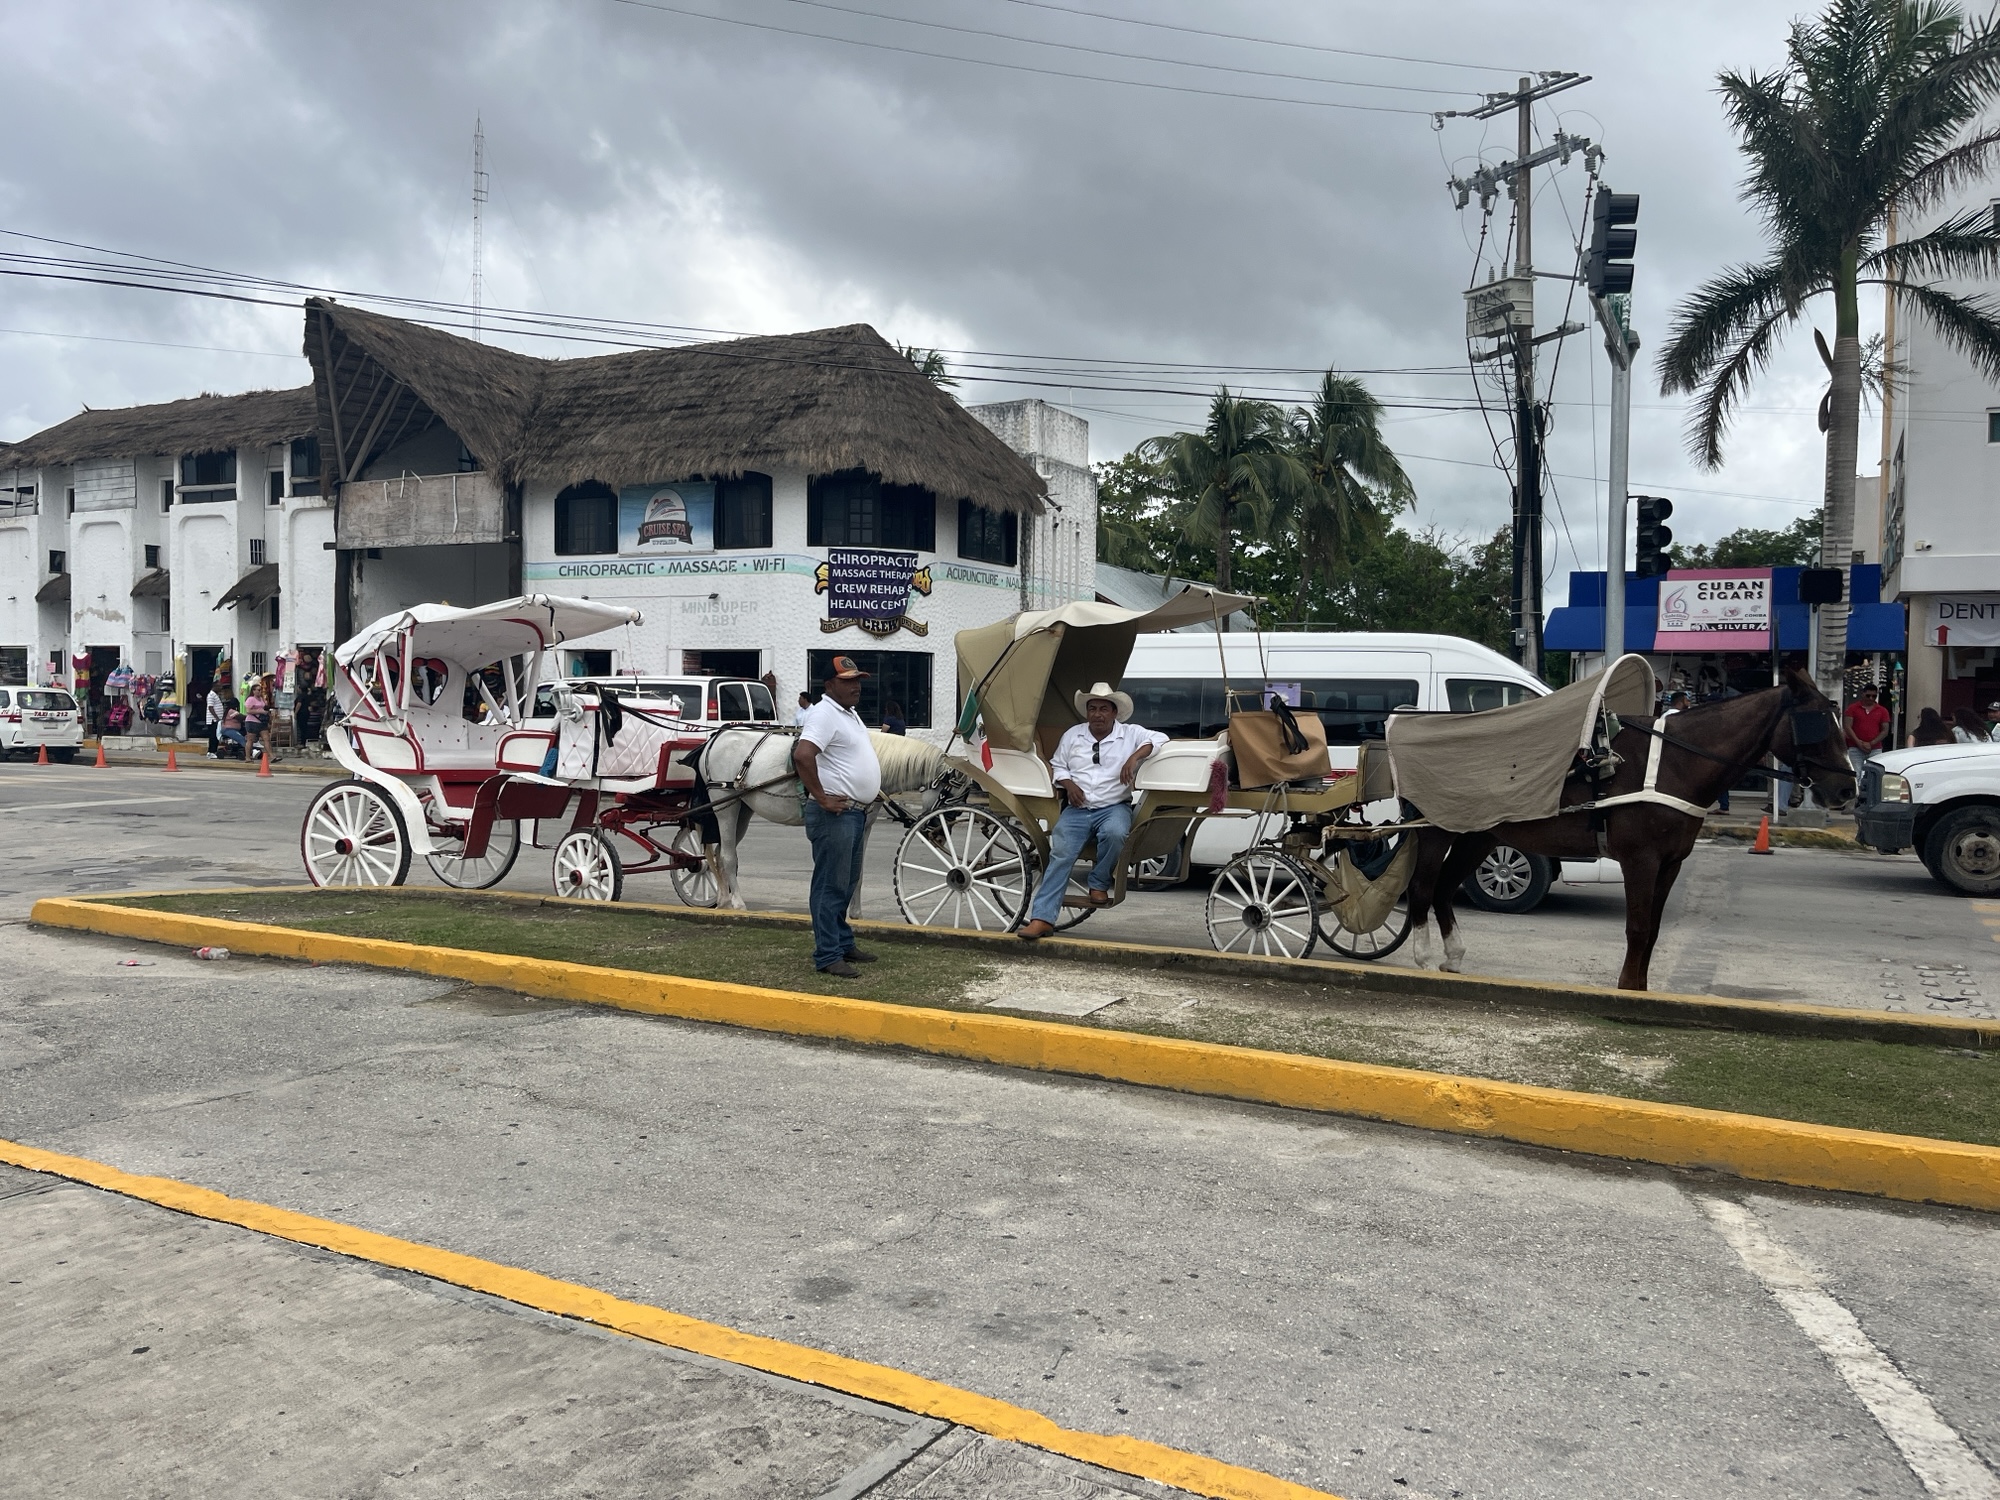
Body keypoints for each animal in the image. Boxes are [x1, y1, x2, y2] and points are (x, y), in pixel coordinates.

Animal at [692, 728, 948, 916]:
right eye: (949, 791)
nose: (939, 833)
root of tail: (714, 739)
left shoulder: (865, 825)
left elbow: (858, 870)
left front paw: (855, 913)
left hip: (742, 810)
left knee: (718, 854)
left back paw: (723, 900)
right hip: (724, 805)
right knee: (728, 856)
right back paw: (737, 902)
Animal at [1408, 668, 1856, 988]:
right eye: (1817, 722)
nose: (1847, 789)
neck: (1672, 763)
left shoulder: (1670, 863)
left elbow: (1653, 930)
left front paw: (1640, 989)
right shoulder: (1640, 861)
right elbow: (1638, 929)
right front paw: (1626, 987)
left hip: (1477, 836)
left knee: (1443, 890)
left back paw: (1453, 957)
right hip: (1435, 832)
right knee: (1422, 891)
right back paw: (1424, 959)